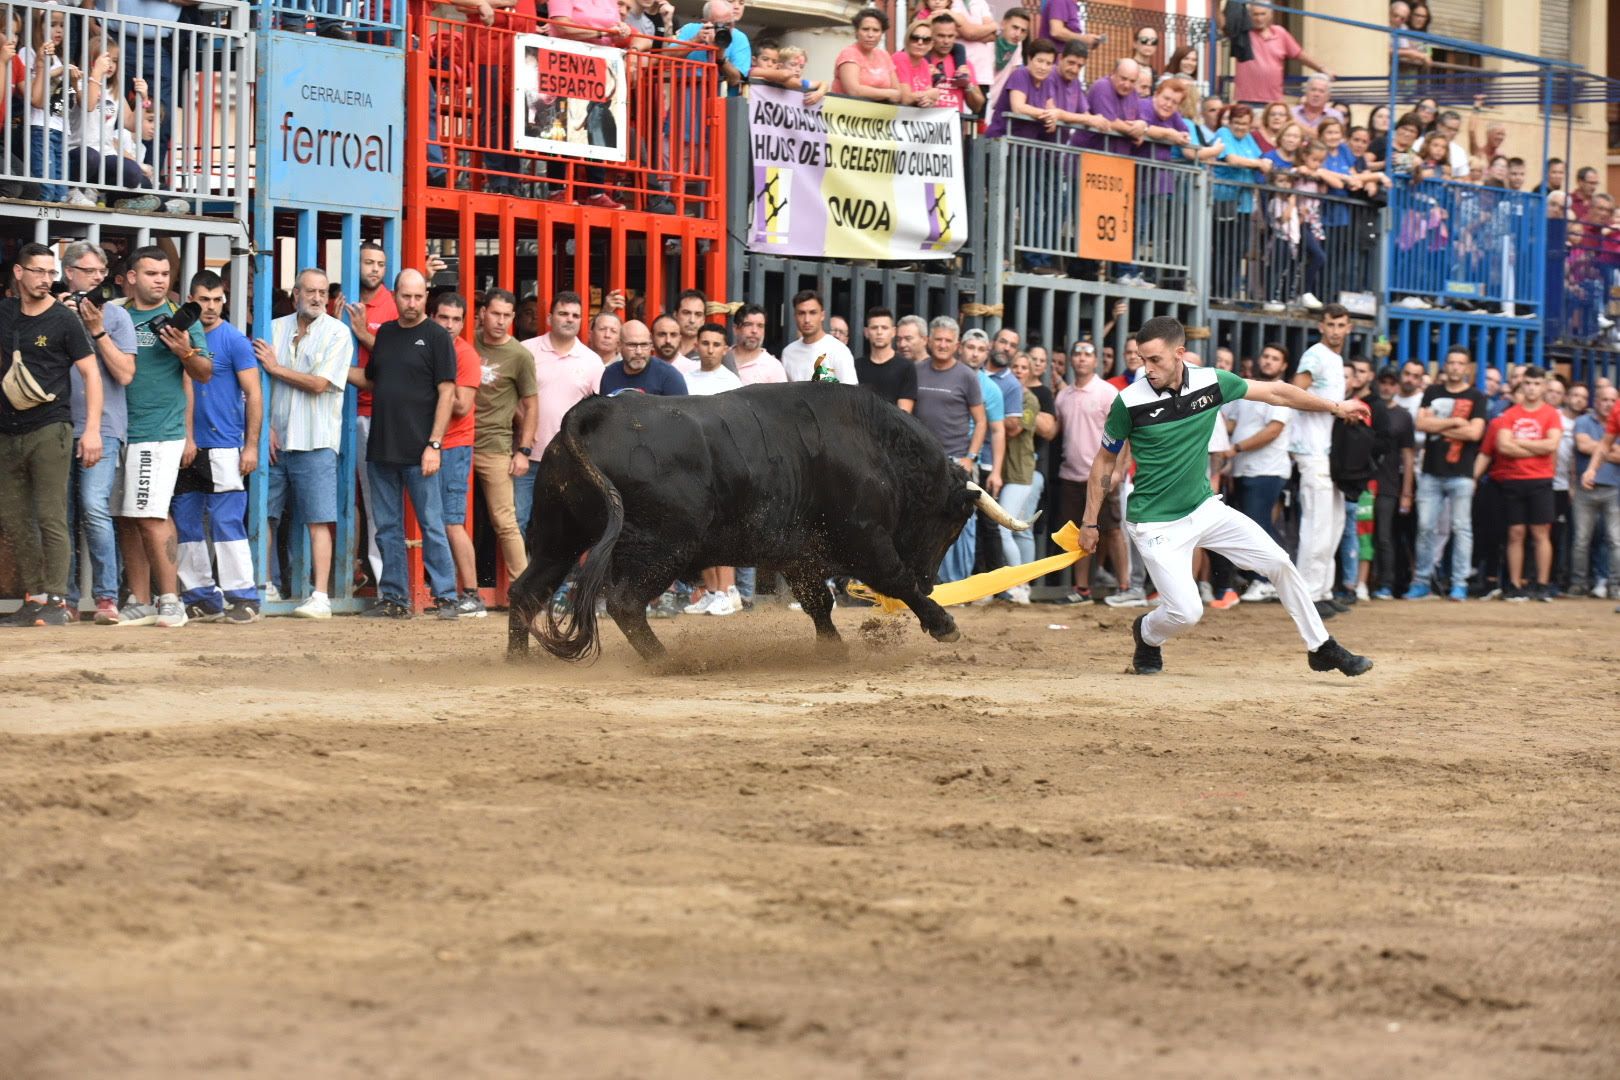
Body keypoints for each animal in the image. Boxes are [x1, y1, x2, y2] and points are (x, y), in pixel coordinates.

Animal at [505, 383, 1030, 663]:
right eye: (953, 522)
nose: (932, 580)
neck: (878, 449)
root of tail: (596, 410)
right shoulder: (866, 540)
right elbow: (894, 579)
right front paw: (943, 623)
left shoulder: (799, 554)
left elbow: (819, 602)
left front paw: (833, 649)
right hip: (663, 546)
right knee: (625, 602)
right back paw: (664, 661)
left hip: (558, 538)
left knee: (526, 590)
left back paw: (519, 660)